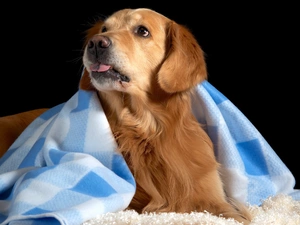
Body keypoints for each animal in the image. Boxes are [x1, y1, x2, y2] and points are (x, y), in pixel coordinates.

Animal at [0, 7, 252, 224]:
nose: (95, 43)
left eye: (142, 31)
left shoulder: (213, 197)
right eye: (104, 29)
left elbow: (236, 215)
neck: (143, 129)